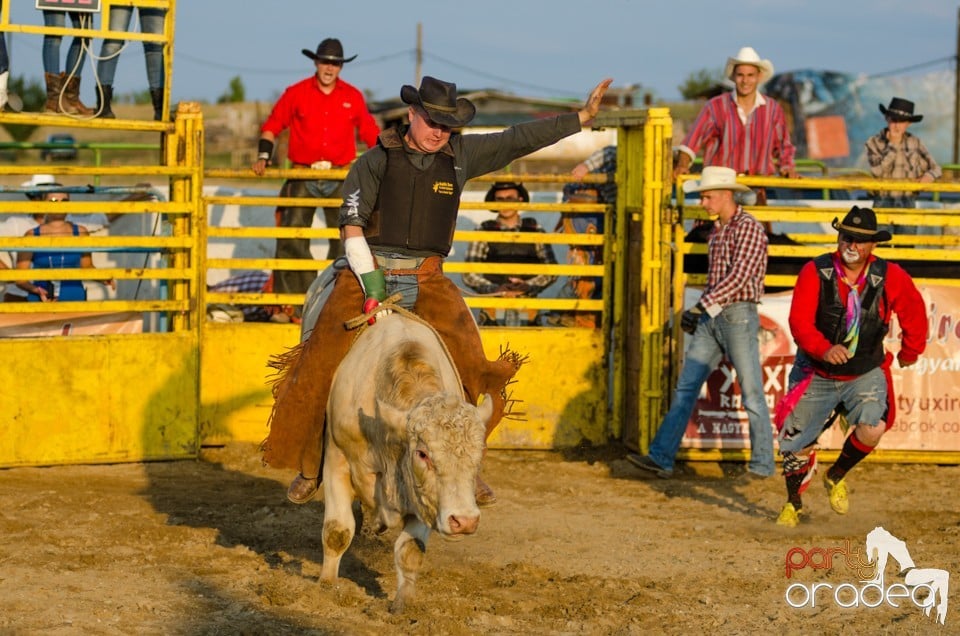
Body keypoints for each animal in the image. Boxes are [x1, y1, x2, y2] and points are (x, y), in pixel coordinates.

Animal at [320, 312, 492, 612]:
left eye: (478, 453)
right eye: (422, 454)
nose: (464, 521)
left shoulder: (422, 496)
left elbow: (410, 550)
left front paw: (403, 602)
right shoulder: (336, 462)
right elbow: (337, 531)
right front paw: (327, 585)